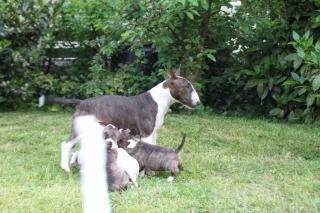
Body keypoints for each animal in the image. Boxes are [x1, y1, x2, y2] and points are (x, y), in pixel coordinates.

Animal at [38, 69, 200, 172]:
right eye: (187, 86)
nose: (198, 102)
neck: (160, 100)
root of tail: (81, 102)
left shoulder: (153, 133)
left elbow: (155, 147)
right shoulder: (146, 134)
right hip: (80, 129)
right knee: (66, 144)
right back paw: (65, 168)